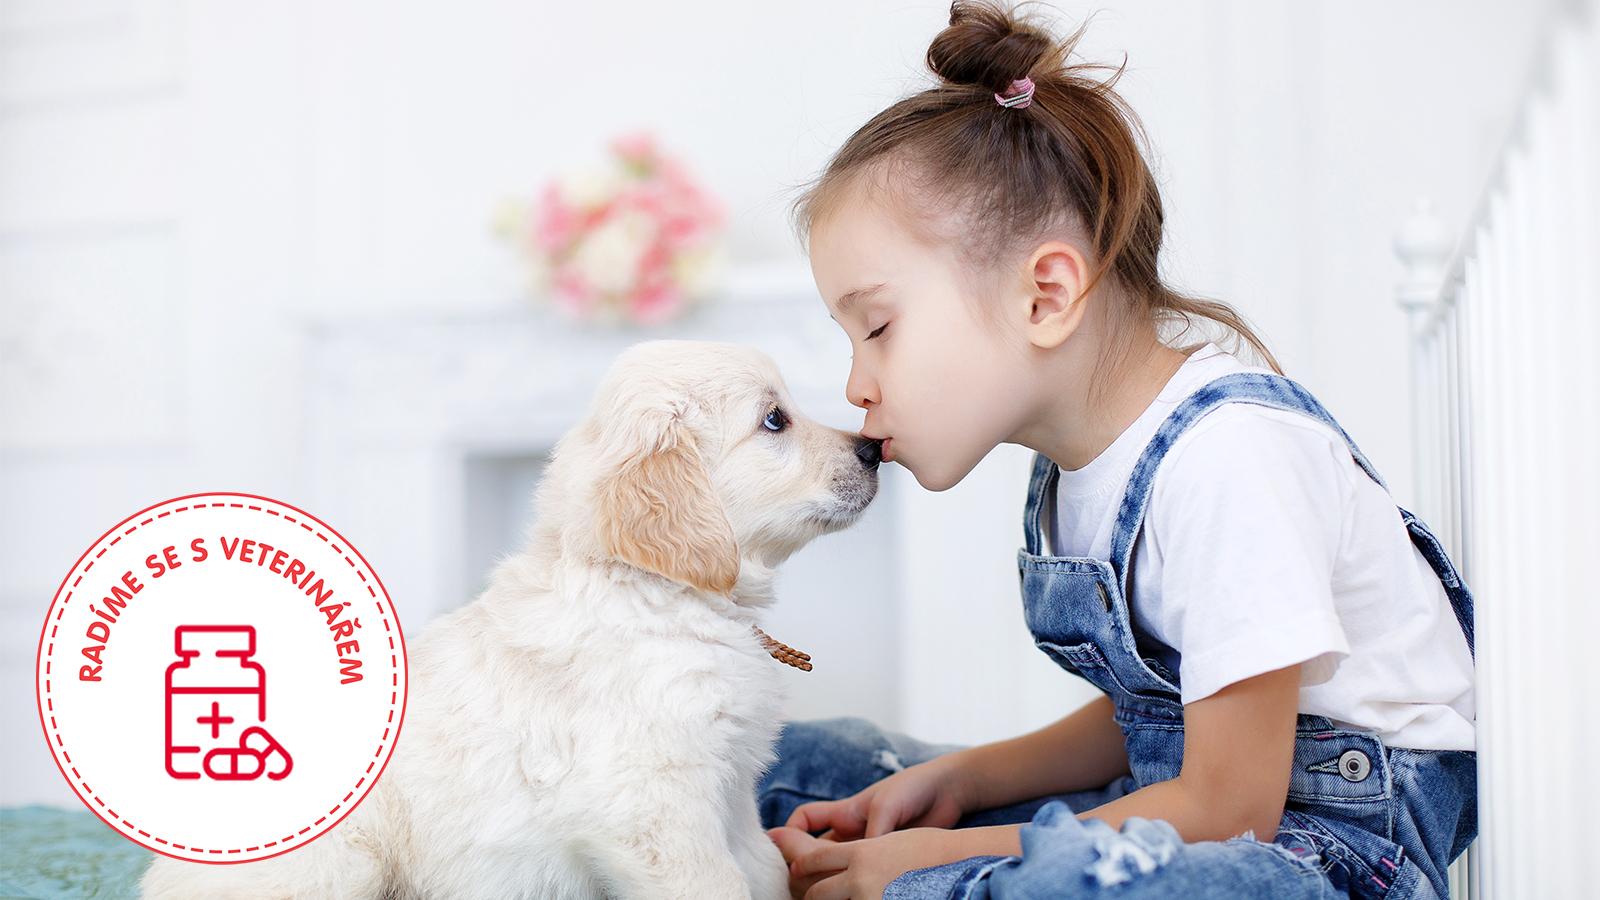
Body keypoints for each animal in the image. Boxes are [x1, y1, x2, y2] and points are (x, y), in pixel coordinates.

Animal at [134, 337, 889, 896]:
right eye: (774, 420)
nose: (874, 448)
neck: (655, 592)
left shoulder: (731, 796)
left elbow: (765, 869)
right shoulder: (655, 806)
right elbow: (718, 886)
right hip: (342, 862)